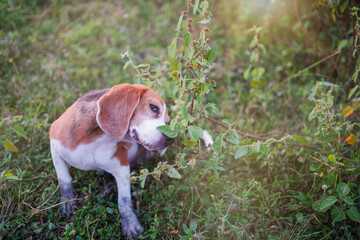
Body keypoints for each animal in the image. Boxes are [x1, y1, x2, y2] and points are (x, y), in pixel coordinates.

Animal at [49, 83, 173, 237]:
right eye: (154, 107)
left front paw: (130, 223)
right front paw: (68, 200)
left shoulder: (122, 166)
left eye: (167, 121)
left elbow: (124, 199)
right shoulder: (54, 142)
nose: (171, 139)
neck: (98, 139)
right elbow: (64, 178)